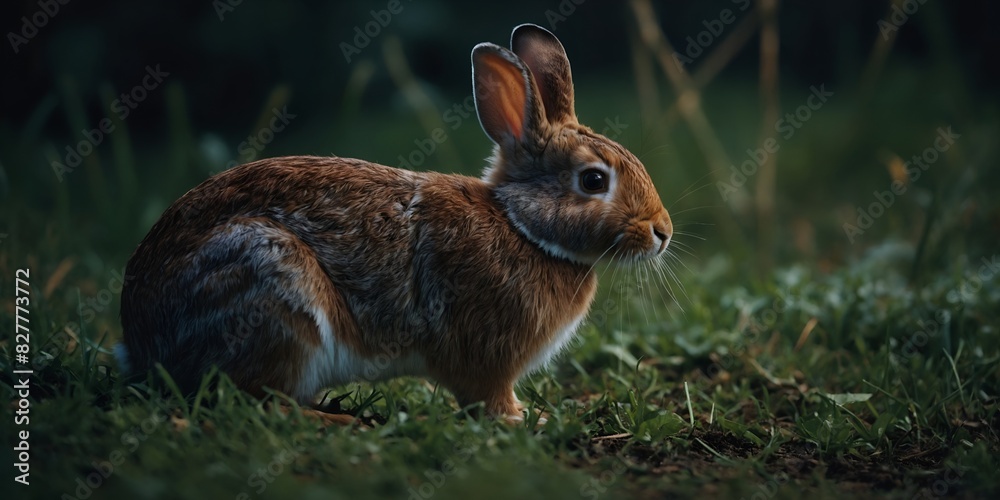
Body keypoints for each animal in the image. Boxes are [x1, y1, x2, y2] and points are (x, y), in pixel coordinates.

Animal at [116, 23, 672, 421]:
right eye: (594, 180)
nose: (662, 232)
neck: (522, 226)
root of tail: (142, 343)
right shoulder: (487, 358)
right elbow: (487, 396)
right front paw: (520, 420)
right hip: (270, 288)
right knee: (259, 401)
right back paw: (338, 422)